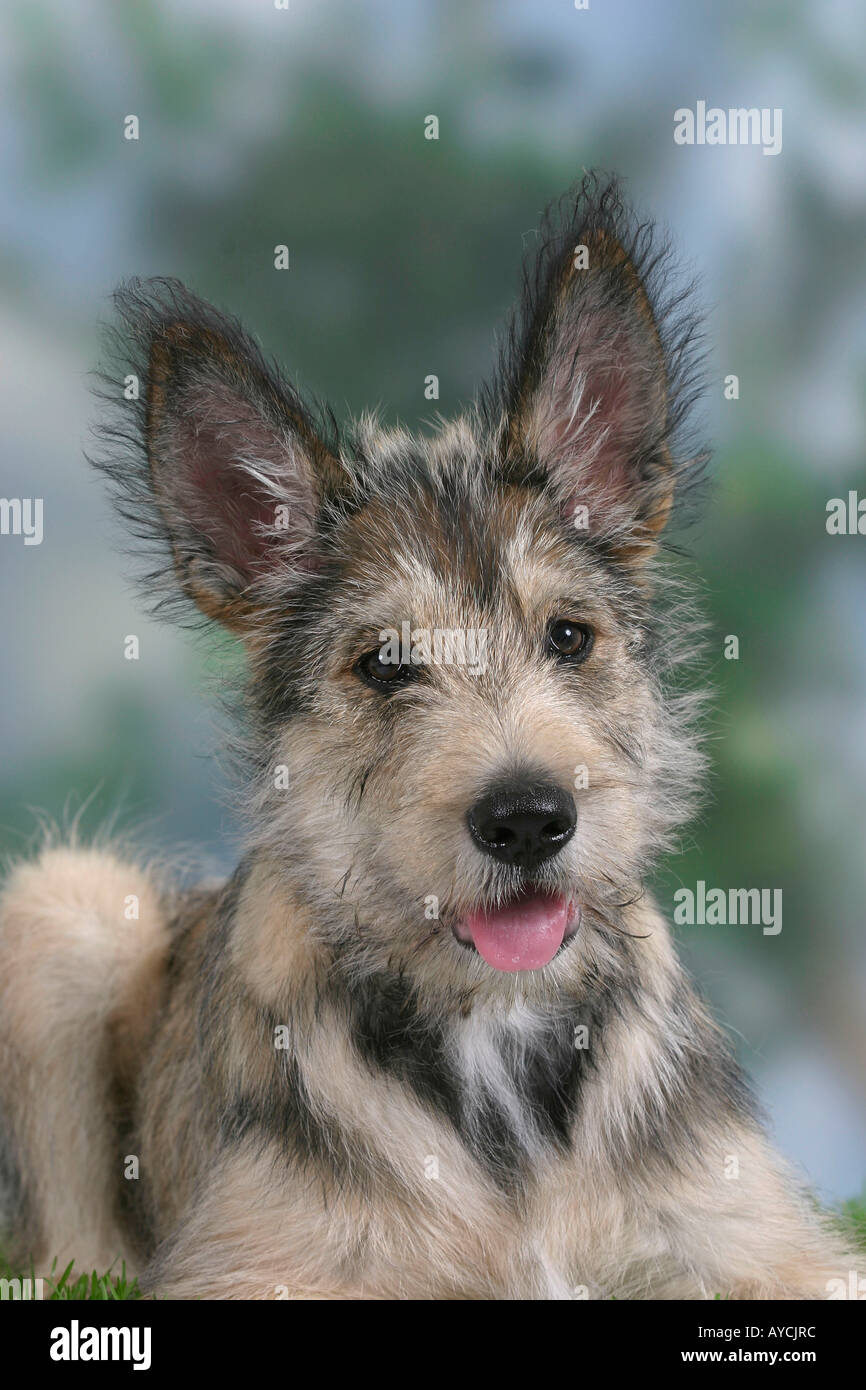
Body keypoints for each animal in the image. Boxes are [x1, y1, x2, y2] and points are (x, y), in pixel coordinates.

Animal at [0, 176, 856, 1301]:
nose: (527, 819)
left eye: (568, 636)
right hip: (64, 905)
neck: (493, 1025)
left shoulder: (762, 1242)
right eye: (383, 665)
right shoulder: (258, 1268)